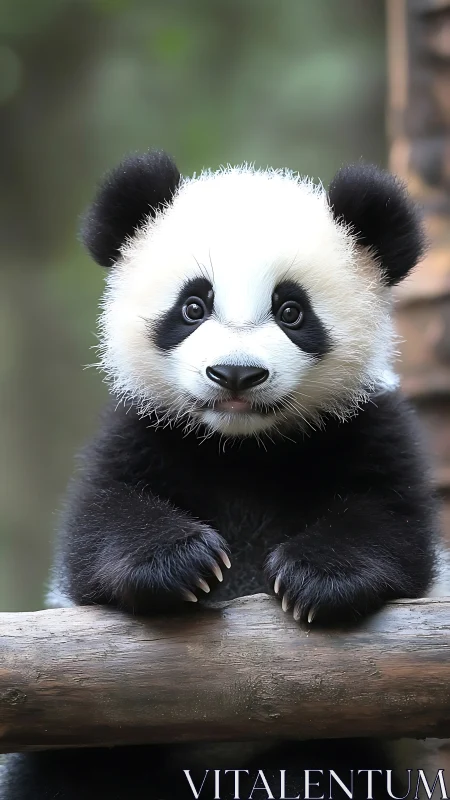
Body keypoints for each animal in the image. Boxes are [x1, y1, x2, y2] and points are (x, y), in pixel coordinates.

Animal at [1, 151, 441, 800]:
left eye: (291, 311)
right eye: (193, 306)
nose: (235, 373)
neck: (242, 447)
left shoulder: (368, 425)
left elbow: (393, 525)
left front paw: (315, 577)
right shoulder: (141, 430)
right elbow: (98, 529)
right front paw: (184, 562)